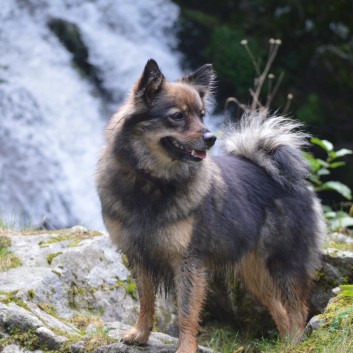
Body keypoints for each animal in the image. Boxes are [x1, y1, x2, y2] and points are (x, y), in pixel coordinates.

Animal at [96, 59, 324, 352]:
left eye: (201, 115)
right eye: (177, 116)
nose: (211, 137)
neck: (152, 182)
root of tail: (291, 181)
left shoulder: (187, 262)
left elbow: (187, 312)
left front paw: (185, 347)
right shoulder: (139, 257)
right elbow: (146, 301)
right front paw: (141, 334)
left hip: (284, 263)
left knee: (297, 312)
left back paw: (294, 345)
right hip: (256, 274)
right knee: (281, 312)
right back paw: (284, 345)